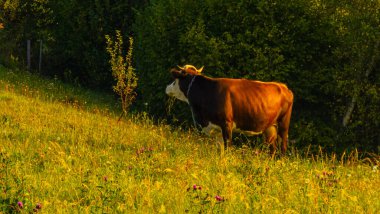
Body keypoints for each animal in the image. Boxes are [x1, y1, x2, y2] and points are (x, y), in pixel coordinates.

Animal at [166, 65, 294, 154]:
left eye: (174, 80)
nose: (167, 88)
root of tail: (284, 87)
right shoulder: (216, 129)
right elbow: (220, 151)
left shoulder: (226, 124)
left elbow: (227, 148)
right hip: (270, 127)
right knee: (272, 148)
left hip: (283, 124)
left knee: (283, 146)